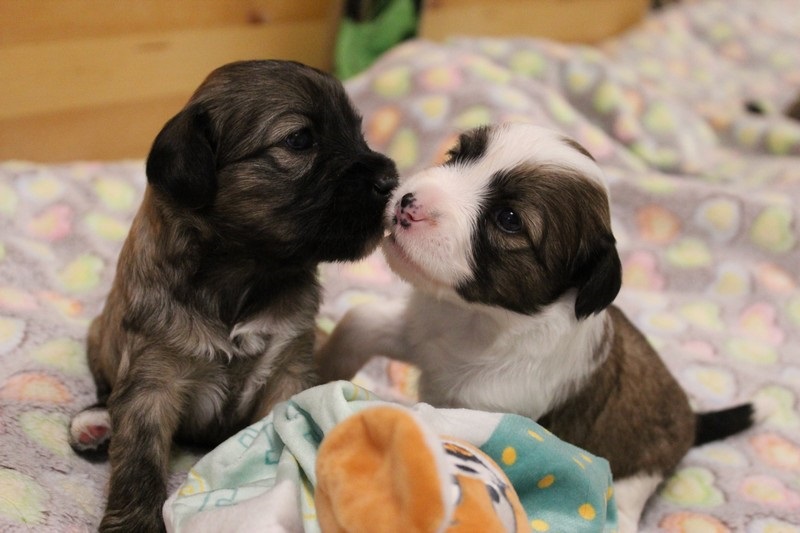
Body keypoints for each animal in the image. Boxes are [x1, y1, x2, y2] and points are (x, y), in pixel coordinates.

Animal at [68, 60, 398, 532]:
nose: (391, 180)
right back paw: (95, 423)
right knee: (104, 387)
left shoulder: (290, 368)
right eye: (299, 139)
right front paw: (134, 523)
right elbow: (139, 462)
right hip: (99, 333)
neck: (245, 273)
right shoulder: (152, 380)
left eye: (357, 131)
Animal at [315, 122, 755, 532]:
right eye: (458, 156)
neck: (479, 318)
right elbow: (359, 322)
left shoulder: (485, 409)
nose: (408, 201)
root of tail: (691, 421)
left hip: (638, 474)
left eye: (508, 219)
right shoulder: (421, 334)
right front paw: (321, 374)